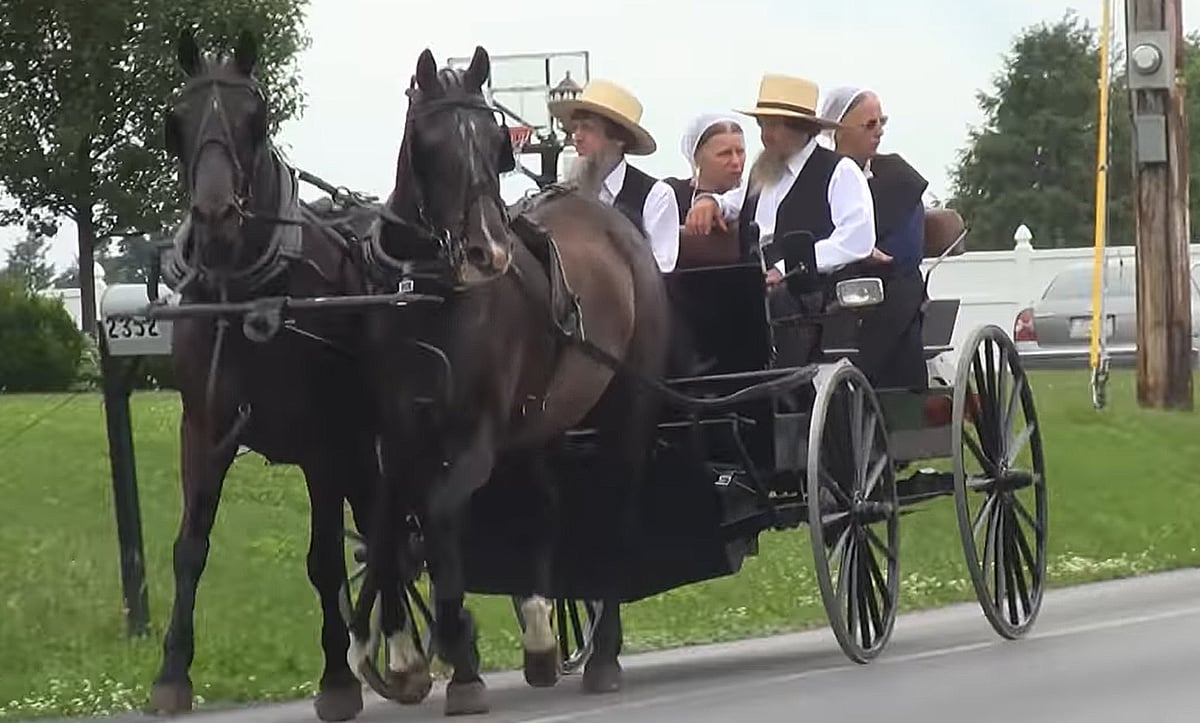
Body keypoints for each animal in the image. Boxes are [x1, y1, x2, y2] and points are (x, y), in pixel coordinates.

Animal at [146, 28, 384, 720]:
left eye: (257, 119)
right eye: (175, 121)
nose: (215, 219)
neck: (244, 293)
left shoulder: (325, 441)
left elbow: (324, 559)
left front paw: (338, 678)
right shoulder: (202, 428)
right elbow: (189, 548)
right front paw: (171, 673)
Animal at [348, 46, 676, 715]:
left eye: (494, 141)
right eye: (430, 142)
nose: (487, 253)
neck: (427, 290)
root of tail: (615, 225)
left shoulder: (477, 437)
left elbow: (440, 513)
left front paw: (459, 651)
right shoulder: (396, 434)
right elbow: (389, 525)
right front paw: (399, 653)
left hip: (627, 408)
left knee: (614, 510)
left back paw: (603, 655)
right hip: (543, 421)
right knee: (546, 503)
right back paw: (543, 637)